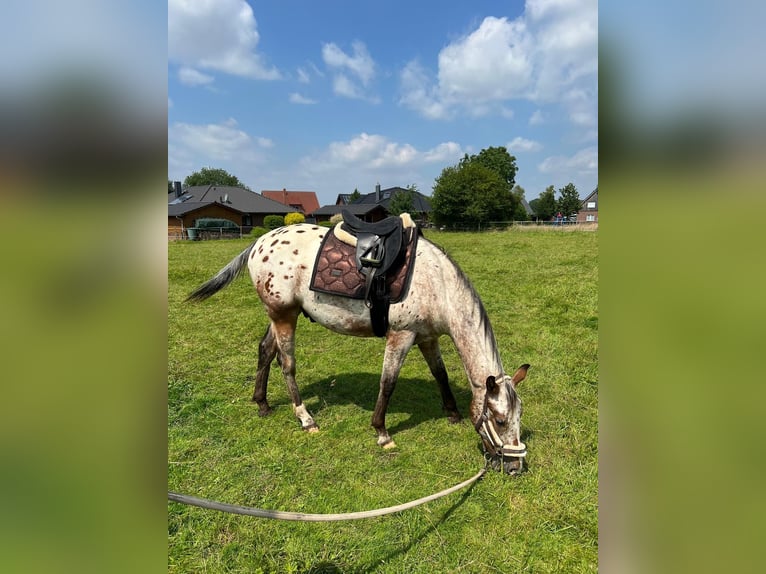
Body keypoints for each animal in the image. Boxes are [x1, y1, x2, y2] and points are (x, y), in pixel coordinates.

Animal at [189, 216, 532, 476]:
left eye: (519, 417)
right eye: (500, 420)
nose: (515, 467)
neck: (438, 286)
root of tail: (260, 242)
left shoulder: (428, 337)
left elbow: (441, 374)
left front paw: (453, 413)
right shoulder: (401, 335)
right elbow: (388, 383)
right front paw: (382, 433)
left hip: (282, 315)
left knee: (264, 350)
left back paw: (262, 403)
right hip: (283, 316)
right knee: (287, 365)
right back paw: (305, 418)